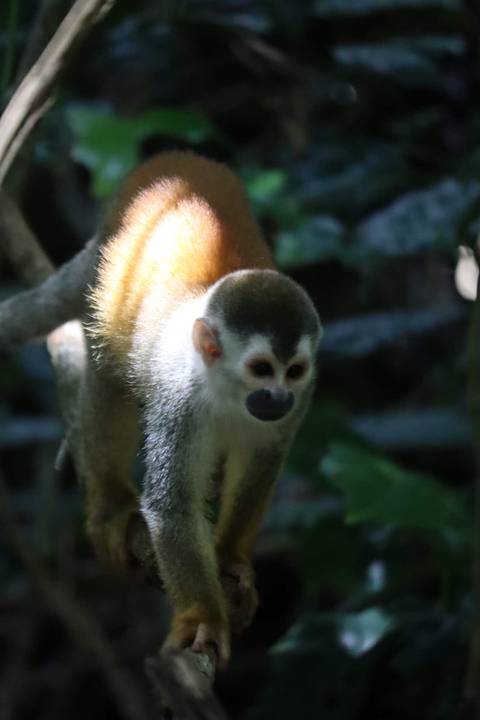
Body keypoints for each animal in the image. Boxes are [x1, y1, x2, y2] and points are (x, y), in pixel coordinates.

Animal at [1, 151, 321, 666]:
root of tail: (176, 162)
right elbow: (171, 504)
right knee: (109, 376)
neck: (224, 388)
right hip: (110, 277)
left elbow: (263, 463)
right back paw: (112, 499)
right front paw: (203, 618)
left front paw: (232, 559)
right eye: (260, 369)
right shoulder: (178, 398)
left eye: (292, 371)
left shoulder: (305, 396)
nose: (278, 397)